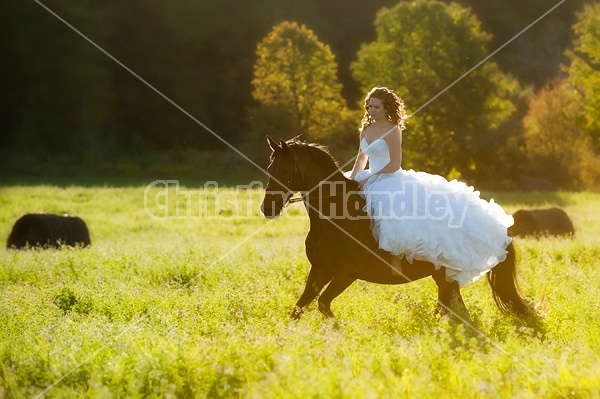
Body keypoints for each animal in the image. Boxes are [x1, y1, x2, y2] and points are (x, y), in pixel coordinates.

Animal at [260, 136, 536, 324]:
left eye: (284, 170)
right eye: (270, 169)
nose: (267, 208)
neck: (335, 217)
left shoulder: (346, 274)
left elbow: (323, 305)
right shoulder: (320, 270)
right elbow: (299, 308)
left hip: (445, 277)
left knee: (454, 311)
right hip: (444, 278)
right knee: (452, 309)